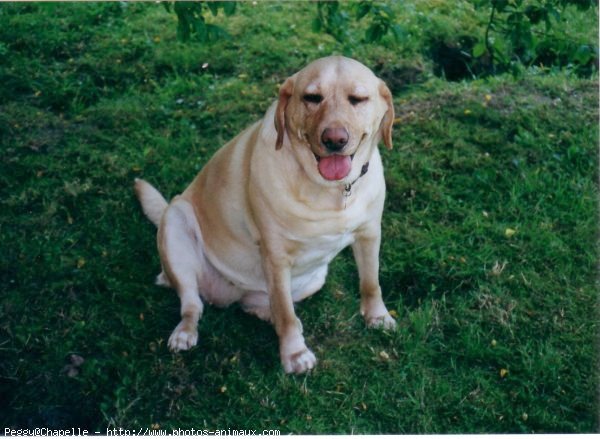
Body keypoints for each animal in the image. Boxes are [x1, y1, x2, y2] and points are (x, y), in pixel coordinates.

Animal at [137, 55, 398, 374]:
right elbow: (284, 311)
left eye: (358, 99)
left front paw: (378, 316)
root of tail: (228, 294)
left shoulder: (369, 234)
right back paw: (185, 332)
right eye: (312, 97)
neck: (332, 190)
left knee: (258, 305)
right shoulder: (276, 255)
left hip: (313, 278)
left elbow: (371, 283)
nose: (334, 139)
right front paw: (295, 354)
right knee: (192, 304)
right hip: (176, 223)